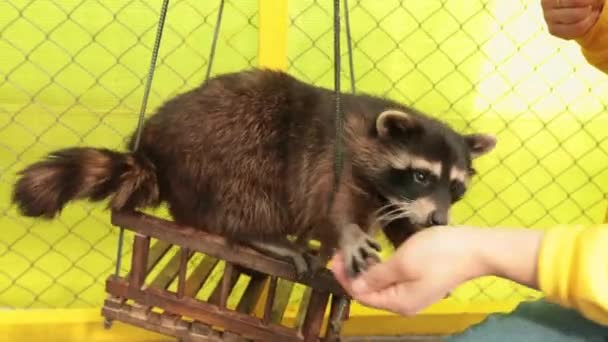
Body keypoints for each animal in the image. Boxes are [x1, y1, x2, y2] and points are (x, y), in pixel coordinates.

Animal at [10, 68, 494, 280]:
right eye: (421, 176)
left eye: (456, 187)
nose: (439, 220)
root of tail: (154, 151)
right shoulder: (332, 155)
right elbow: (331, 203)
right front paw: (349, 231)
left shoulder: (388, 194)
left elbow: (395, 217)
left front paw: (417, 238)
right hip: (226, 153)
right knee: (248, 190)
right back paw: (259, 234)